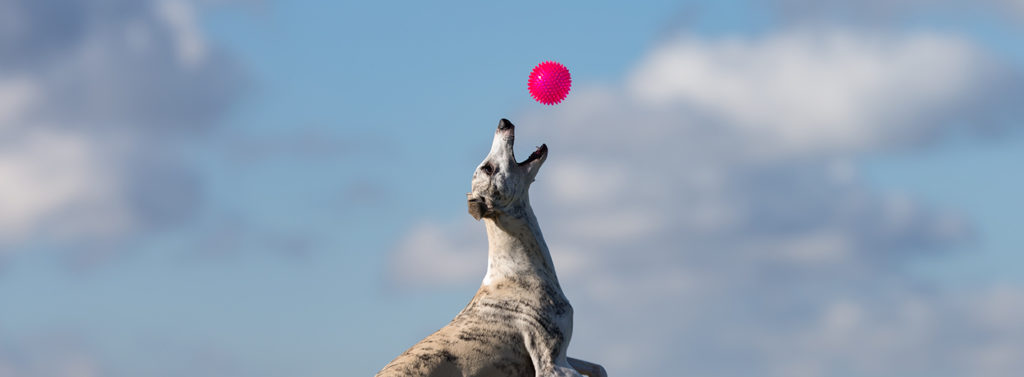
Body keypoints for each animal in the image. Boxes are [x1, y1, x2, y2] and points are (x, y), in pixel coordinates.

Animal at [378, 118, 606, 377]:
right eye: (488, 168)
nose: (503, 122)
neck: (516, 270)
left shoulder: (564, 359)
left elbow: (599, 367)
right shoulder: (552, 363)